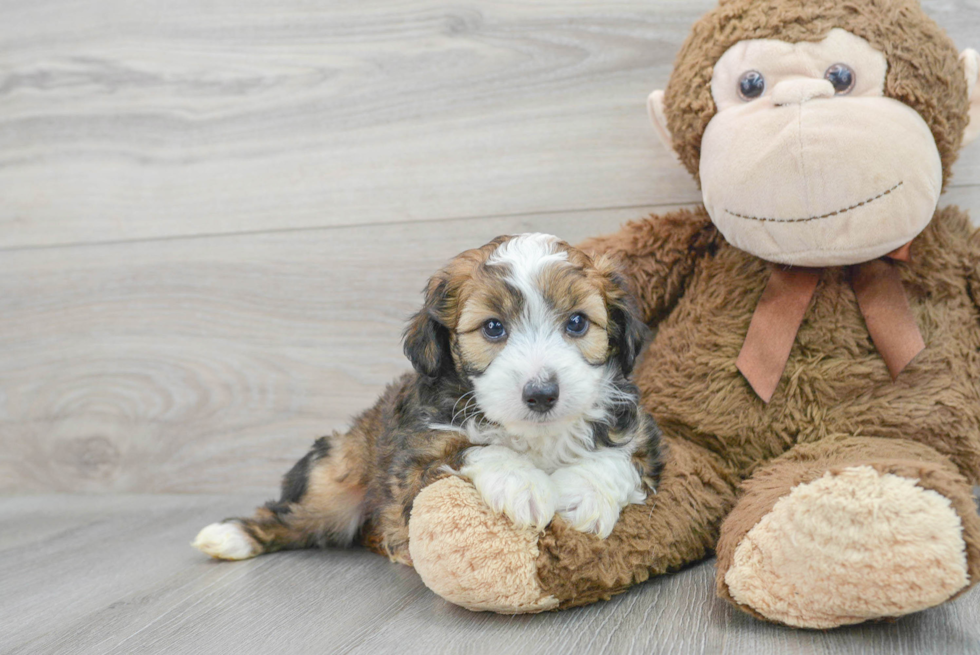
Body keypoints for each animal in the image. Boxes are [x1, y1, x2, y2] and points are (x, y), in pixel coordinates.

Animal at [192, 234, 664, 564]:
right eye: (493, 328)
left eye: (578, 323)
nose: (542, 393)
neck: (534, 434)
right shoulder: (413, 466)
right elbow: (472, 449)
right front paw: (524, 483)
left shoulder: (643, 434)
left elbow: (621, 459)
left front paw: (584, 495)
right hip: (333, 481)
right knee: (294, 515)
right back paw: (230, 537)